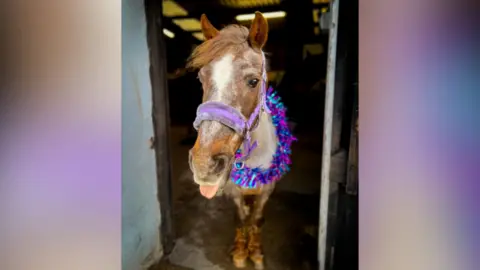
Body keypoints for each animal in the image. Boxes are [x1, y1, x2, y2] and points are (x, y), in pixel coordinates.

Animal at [188, 11, 296, 268]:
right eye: (200, 78)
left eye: (253, 81)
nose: (204, 165)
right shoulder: (234, 190)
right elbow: (240, 218)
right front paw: (240, 252)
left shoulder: (267, 190)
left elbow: (255, 219)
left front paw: (254, 252)